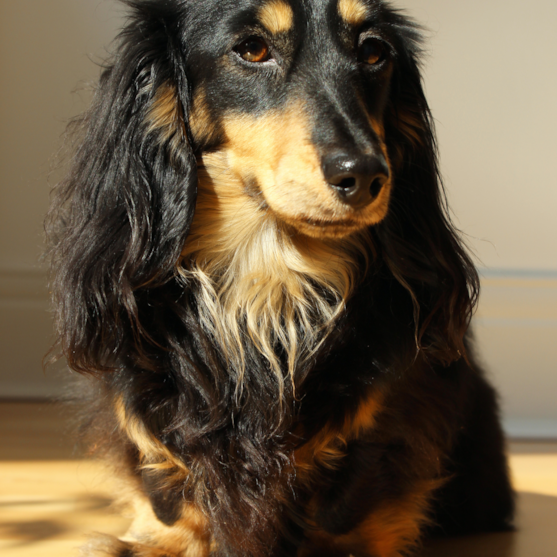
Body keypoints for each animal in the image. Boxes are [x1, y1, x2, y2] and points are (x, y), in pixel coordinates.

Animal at [45, 0, 516, 552]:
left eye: (374, 52)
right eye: (252, 49)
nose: (367, 176)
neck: (269, 283)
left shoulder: (384, 419)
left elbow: (349, 498)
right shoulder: (139, 394)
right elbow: (164, 480)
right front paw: (162, 541)